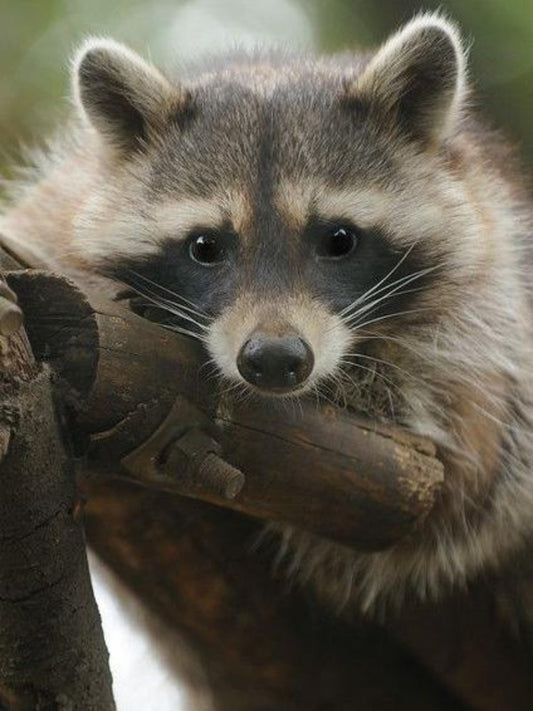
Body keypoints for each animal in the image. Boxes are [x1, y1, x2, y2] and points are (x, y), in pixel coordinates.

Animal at [2, 13, 533, 620]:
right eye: (205, 247)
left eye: (340, 240)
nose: (276, 360)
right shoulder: (59, 203)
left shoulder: (498, 315)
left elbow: (453, 445)